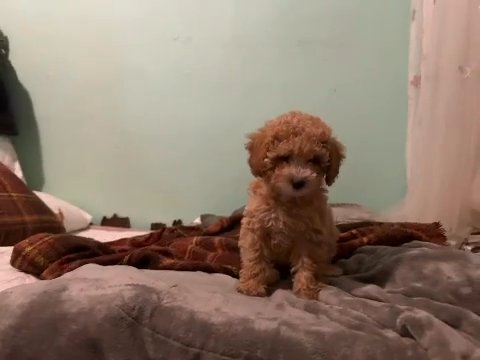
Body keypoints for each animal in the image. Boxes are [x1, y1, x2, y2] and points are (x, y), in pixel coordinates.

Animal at [236, 110, 344, 300]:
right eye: (283, 158)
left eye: (314, 160)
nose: (298, 182)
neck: (288, 200)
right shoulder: (255, 227)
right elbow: (255, 257)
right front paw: (252, 285)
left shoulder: (309, 235)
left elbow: (307, 263)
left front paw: (306, 290)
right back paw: (271, 274)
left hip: (330, 237)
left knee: (323, 262)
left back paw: (326, 273)